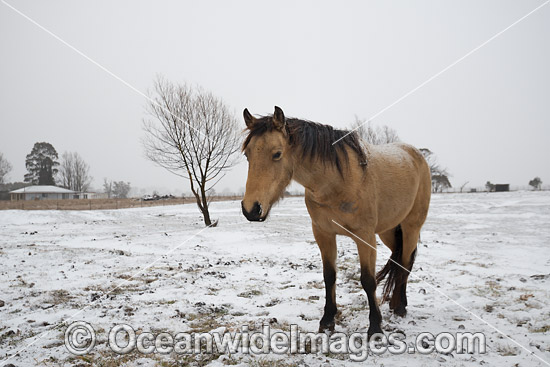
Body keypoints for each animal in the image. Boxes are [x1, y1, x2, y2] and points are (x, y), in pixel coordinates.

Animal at [242, 105, 432, 336]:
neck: (337, 182)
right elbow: (329, 276)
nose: (251, 209)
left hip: (411, 227)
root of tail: (416, 155)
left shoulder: (365, 237)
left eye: (277, 154)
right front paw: (327, 320)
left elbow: (368, 280)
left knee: (404, 264)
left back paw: (401, 307)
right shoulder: (323, 234)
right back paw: (395, 303)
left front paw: (375, 327)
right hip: (388, 230)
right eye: (247, 154)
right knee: (398, 260)